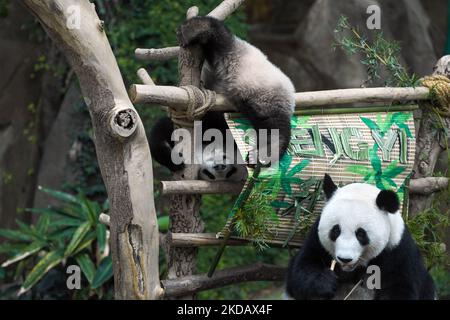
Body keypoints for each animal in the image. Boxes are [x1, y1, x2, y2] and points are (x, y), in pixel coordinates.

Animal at [149, 16, 298, 180]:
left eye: (231, 171)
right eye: (209, 174)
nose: (220, 166)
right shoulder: (210, 121)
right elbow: (161, 131)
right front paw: (174, 161)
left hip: (263, 94)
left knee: (275, 126)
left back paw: (261, 155)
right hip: (241, 66)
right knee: (221, 40)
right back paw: (192, 29)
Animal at [284, 174, 436, 298]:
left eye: (361, 234)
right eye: (335, 230)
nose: (345, 259)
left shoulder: (398, 249)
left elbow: (401, 286)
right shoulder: (316, 240)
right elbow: (301, 269)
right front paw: (325, 282)